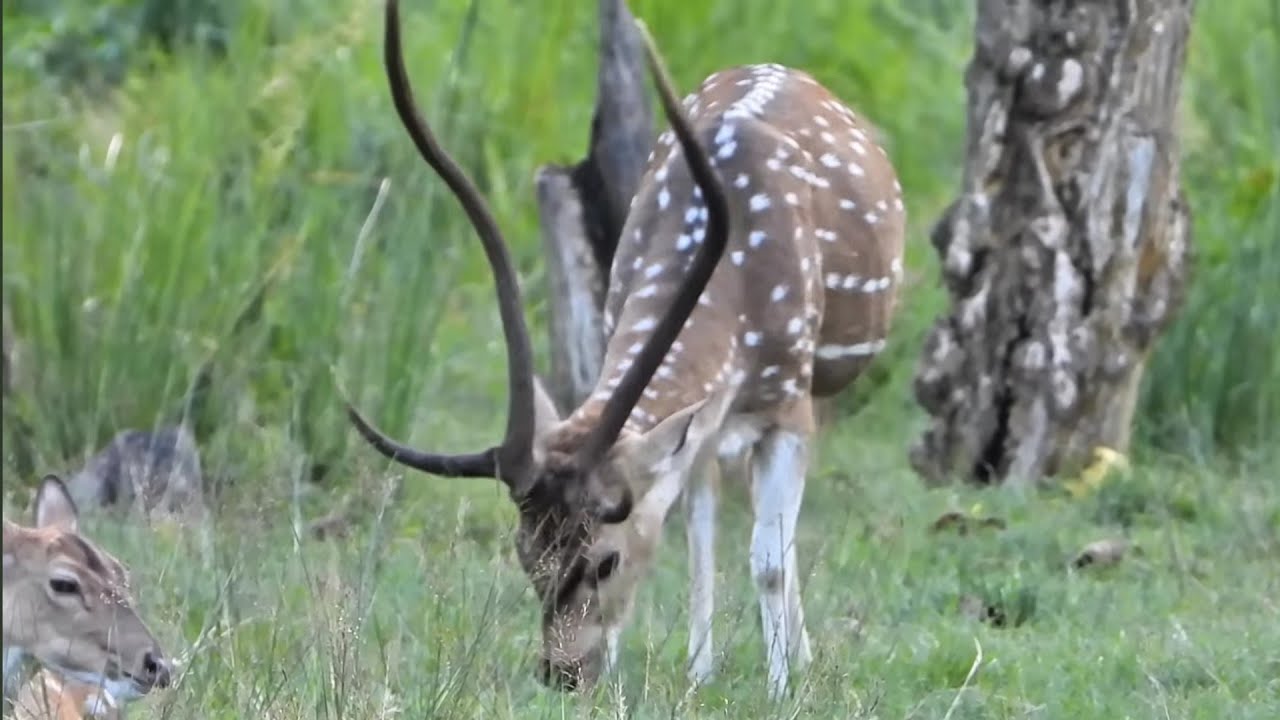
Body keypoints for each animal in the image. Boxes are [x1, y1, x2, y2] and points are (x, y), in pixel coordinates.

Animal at [345, 0, 905, 699]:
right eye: (525, 553)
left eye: (606, 560)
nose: (562, 672)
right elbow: (697, 529)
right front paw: (700, 676)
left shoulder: (789, 399)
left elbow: (768, 557)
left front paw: (782, 689)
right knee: (706, 511)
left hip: (821, 381)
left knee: (771, 531)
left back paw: (796, 658)